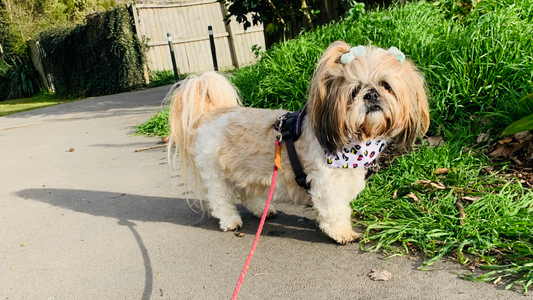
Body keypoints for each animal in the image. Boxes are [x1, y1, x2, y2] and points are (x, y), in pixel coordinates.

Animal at [168, 40, 430, 244]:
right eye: (355, 90)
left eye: (386, 85)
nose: (372, 94)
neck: (354, 145)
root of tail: (209, 115)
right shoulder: (328, 184)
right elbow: (336, 211)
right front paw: (342, 233)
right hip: (216, 175)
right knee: (220, 200)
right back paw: (230, 221)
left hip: (247, 173)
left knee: (248, 193)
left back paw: (264, 211)